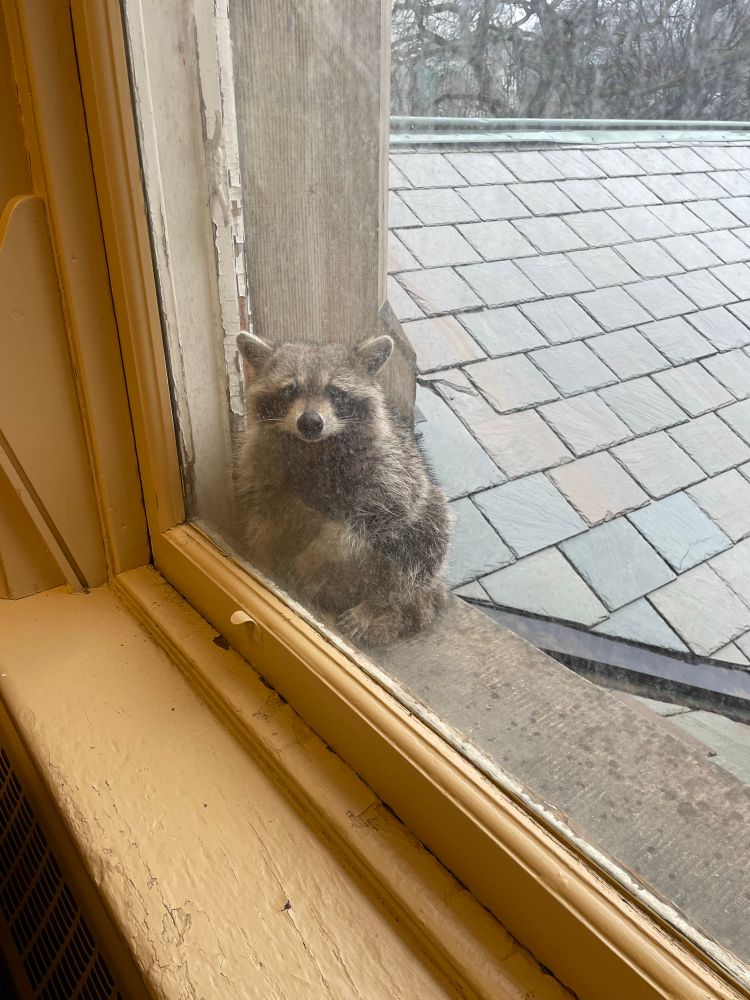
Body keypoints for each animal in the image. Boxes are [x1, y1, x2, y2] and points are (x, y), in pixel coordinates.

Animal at [235, 331, 451, 647]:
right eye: (290, 390)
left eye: (334, 392)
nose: (310, 422)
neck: (313, 447)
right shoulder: (262, 461)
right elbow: (263, 514)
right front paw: (260, 553)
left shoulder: (392, 471)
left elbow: (366, 522)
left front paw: (319, 552)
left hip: (428, 521)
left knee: (421, 547)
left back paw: (377, 604)